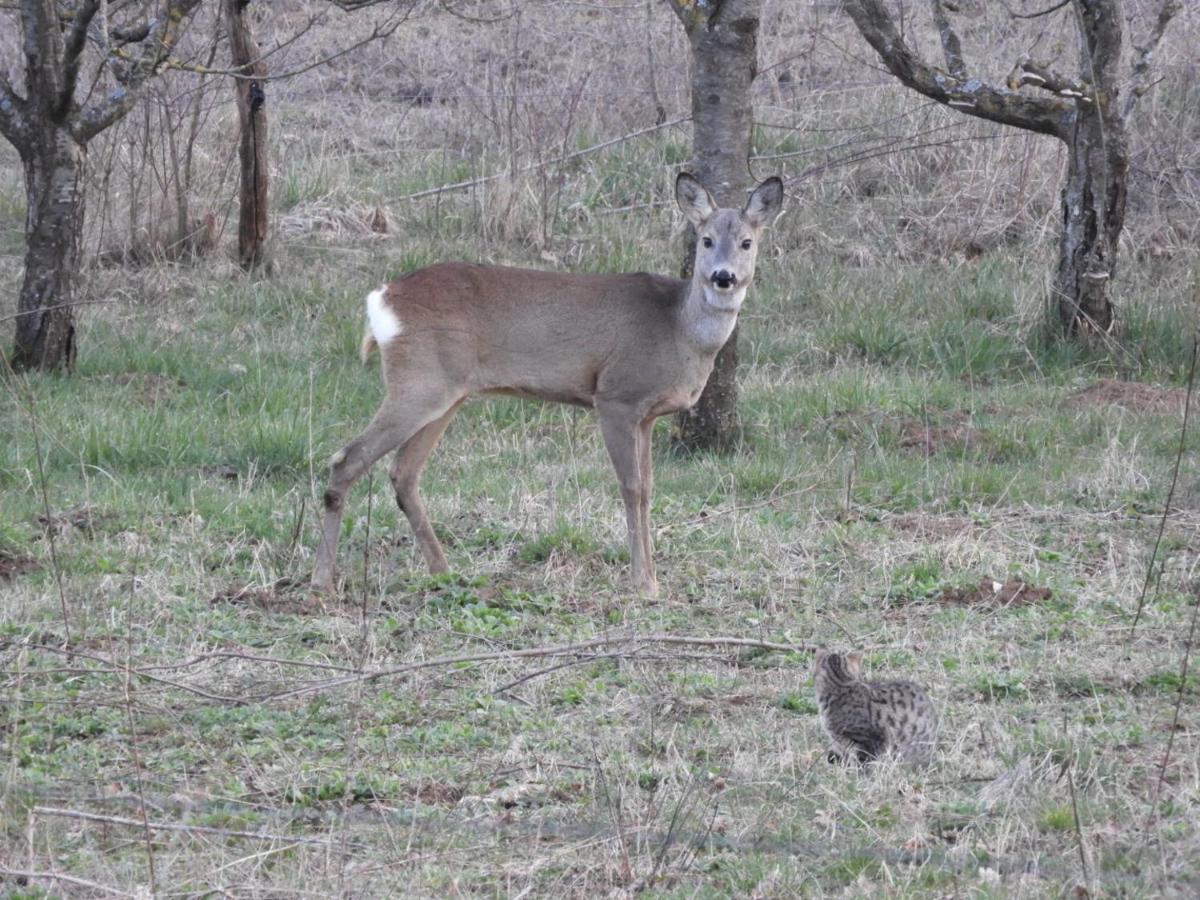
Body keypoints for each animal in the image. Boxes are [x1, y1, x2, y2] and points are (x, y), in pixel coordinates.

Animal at [309, 175, 782, 600]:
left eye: (747, 242)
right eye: (705, 240)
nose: (723, 277)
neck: (678, 329)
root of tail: (381, 297)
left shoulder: (646, 416)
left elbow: (648, 489)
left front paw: (652, 578)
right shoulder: (616, 396)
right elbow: (630, 488)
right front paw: (644, 584)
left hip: (446, 393)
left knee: (403, 473)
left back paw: (444, 571)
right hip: (418, 382)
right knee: (346, 459)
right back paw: (323, 582)